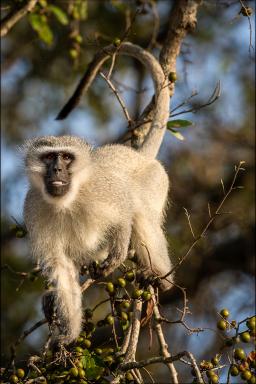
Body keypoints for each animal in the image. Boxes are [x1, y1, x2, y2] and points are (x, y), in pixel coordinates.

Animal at [23, 42, 173, 344]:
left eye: (66, 158)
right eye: (49, 158)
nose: (57, 169)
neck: (67, 202)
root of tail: (140, 156)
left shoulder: (104, 190)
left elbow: (125, 210)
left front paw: (116, 257)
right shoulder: (33, 208)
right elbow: (60, 267)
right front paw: (67, 337)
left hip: (155, 180)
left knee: (141, 213)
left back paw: (160, 278)